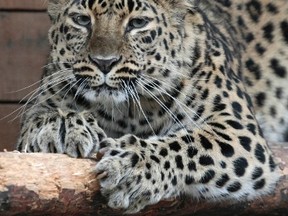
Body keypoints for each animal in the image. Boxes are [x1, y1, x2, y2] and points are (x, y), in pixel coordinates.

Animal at [16, 0, 286, 213]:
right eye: (82, 20)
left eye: (138, 23)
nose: (104, 62)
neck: (128, 111)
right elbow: (41, 118)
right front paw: (62, 124)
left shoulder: (238, 130)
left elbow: (189, 143)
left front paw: (132, 167)